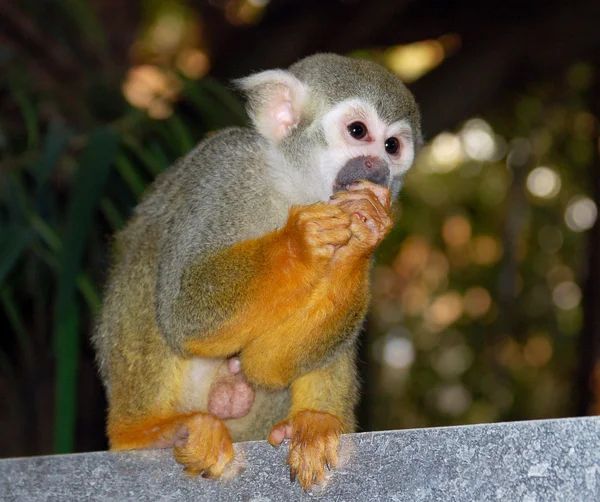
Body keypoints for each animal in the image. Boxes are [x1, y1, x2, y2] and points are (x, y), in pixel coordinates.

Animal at [95, 53, 422, 488]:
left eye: (392, 146)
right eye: (358, 131)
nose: (378, 165)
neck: (294, 187)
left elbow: (266, 364)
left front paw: (362, 235)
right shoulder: (225, 171)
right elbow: (186, 311)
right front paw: (302, 240)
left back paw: (313, 421)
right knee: (151, 250)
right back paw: (143, 433)